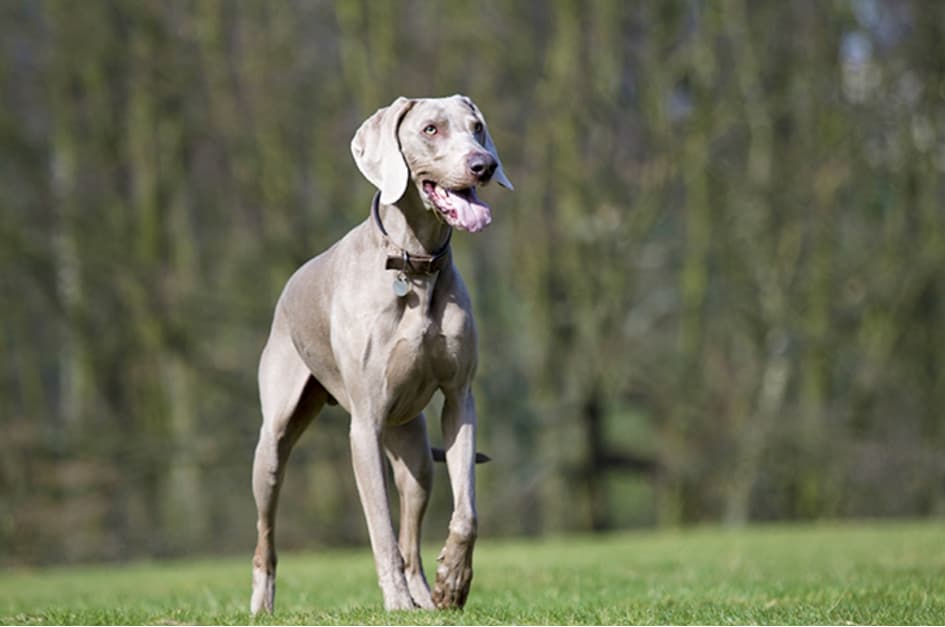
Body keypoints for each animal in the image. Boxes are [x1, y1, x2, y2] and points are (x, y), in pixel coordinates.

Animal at [251, 95, 512, 616]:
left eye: (477, 127)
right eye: (430, 129)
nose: (484, 165)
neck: (414, 263)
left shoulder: (460, 399)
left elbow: (466, 511)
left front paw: (453, 581)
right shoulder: (365, 424)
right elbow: (381, 528)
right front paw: (395, 602)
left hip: (413, 447)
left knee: (413, 523)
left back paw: (425, 597)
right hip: (272, 445)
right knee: (265, 532)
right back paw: (261, 605)